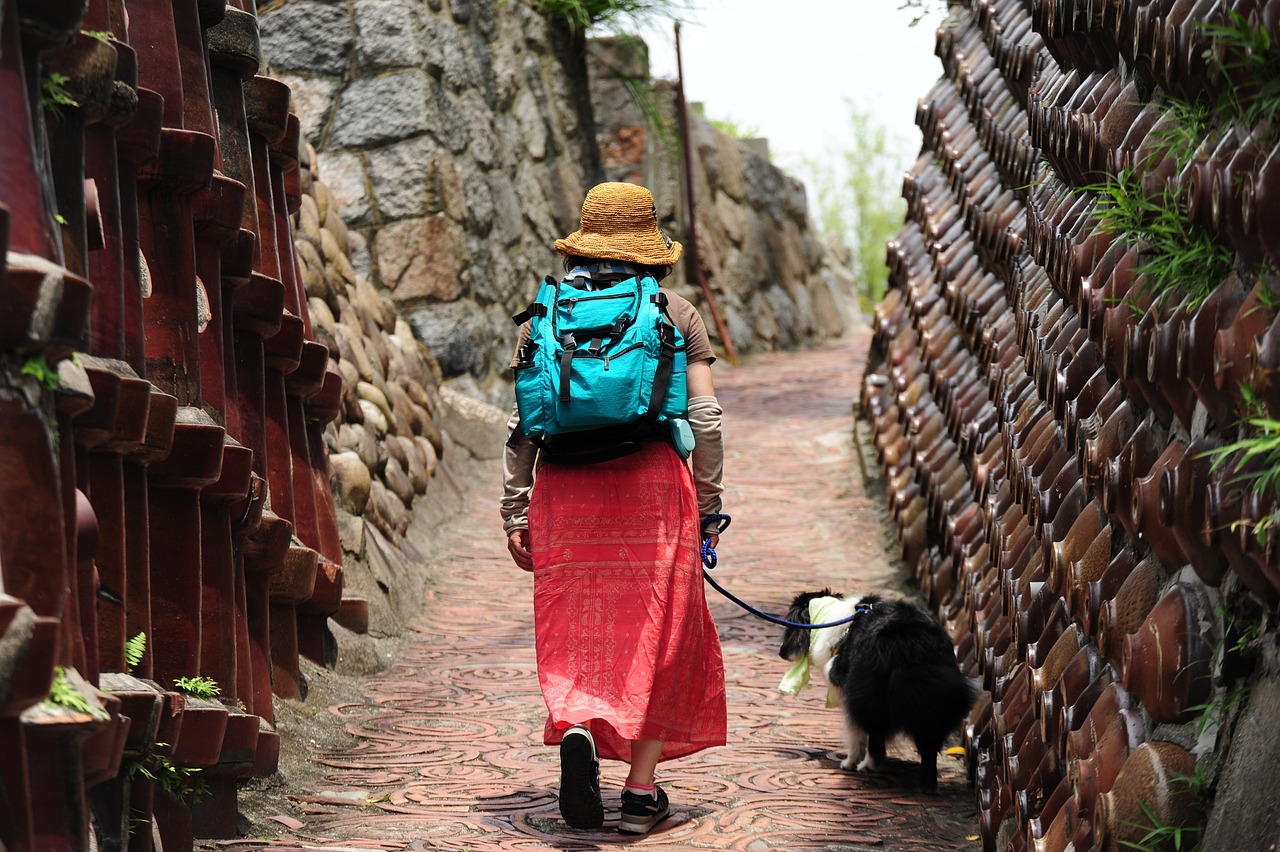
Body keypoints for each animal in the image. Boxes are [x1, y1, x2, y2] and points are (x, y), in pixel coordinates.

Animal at [773, 588, 972, 788]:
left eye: (790, 624)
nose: (781, 652)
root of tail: (910, 641)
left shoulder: (846, 688)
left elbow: (855, 732)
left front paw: (849, 762)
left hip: (869, 694)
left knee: (876, 734)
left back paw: (866, 765)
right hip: (937, 696)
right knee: (928, 743)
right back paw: (928, 785)